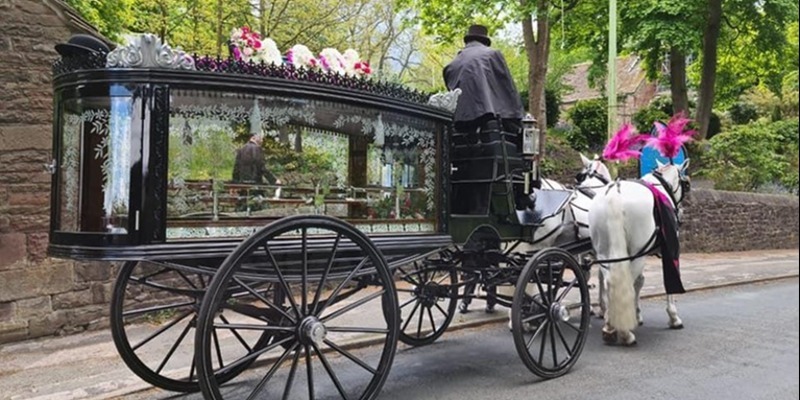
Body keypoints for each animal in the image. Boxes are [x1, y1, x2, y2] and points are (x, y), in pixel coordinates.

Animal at [584, 158, 692, 346]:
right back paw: (624, 333)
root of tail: (616, 191)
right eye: (686, 184)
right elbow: (667, 282)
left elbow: (639, 282)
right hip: (636, 254)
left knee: (609, 281)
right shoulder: (670, 250)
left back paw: (610, 325)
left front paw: (637, 314)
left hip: (605, 253)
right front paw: (673, 317)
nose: (681, 212)